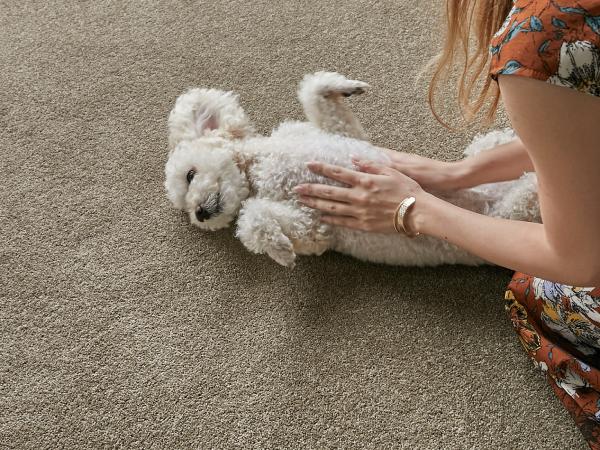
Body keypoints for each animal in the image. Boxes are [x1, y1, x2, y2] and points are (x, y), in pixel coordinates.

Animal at [163, 71, 540, 268]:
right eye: (186, 208)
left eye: (190, 174)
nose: (199, 213)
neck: (262, 166)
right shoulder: (315, 225)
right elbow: (255, 216)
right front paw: (281, 250)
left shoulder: (337, 135)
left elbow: (316, 97)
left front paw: (342, 86)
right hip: (509, 218)